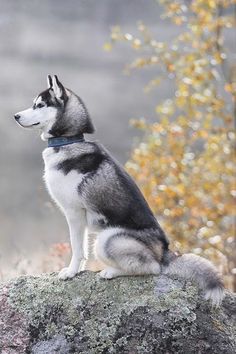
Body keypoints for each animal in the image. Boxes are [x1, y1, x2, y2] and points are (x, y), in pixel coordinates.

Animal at [14, 75, 225, 306]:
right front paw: (78, 271)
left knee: (152, 268)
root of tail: (166, 252)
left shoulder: (74, 212)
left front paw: (70, 272)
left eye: (40, 105)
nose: (15, 116)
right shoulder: (80, 218)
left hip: (107, 239)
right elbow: (82, 250)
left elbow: (76, 248)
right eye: (34, 104)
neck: (68, 141)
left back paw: (111, 272)